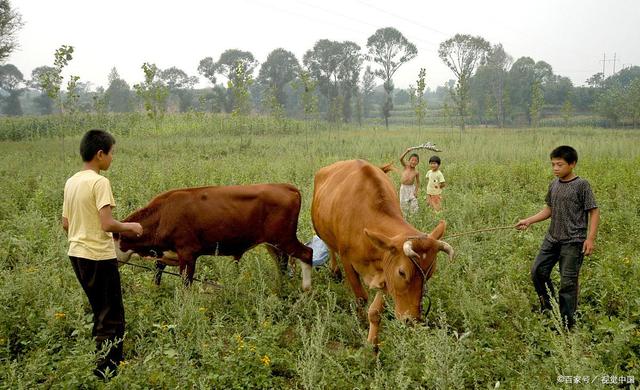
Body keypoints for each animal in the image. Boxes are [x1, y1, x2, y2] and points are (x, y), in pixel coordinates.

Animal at [116, 183, 316, 290]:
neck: (163, 215)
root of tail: (285, 186)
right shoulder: (166, 253)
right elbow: (157, 273)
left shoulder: (187, 253)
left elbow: (186, 283)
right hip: (273, 243)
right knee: (282, 263)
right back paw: (280, 287)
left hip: (284, 238)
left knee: (307, 253)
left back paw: (305, 290)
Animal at [312, 160, 452, 346]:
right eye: (402, 272)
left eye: (429, 274)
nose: (411, 320)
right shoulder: (348, 261)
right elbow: (361, 298)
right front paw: (361, 322)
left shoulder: (386, 269)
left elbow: (375, 311)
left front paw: (373, 344)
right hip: (322, 232)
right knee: (330, 248)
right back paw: (335, 271)